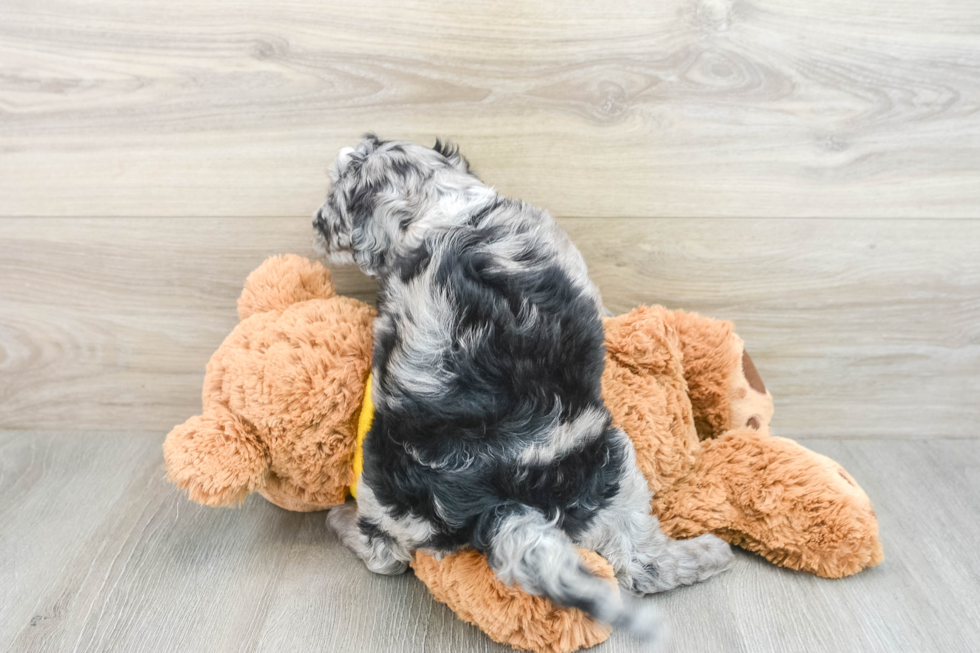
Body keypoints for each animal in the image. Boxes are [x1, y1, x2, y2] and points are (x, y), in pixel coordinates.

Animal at [318, 134, 732, 636]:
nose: (316, 226)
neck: (438, 213)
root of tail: (494, 505)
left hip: (387, 502)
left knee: (384, 553)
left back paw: (340, 519)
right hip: (613, 470)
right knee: (642, 564)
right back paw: (709, 554)